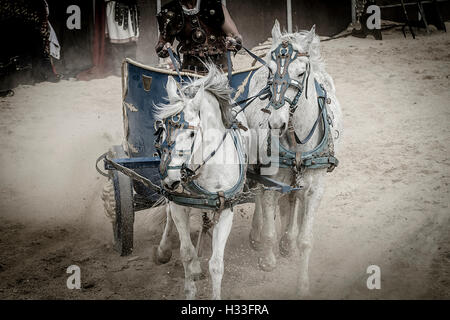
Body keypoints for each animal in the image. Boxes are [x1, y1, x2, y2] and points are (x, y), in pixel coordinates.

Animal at [153, 65, 248, 300]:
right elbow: (186, 255)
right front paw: (191, 285)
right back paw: (164, 250)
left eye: (191, 133)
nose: (170, 179)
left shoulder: (226, 209)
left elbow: (216, 264)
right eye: (162, 129)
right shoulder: (178, 205)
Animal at [244, 21, 342, 298]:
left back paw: (288, 241)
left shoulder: (315, 188)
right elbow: (268, 227)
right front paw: (267, 260)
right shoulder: (269, 182)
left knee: (292, 201)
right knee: (261, 198)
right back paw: (259, 235)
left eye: (300, 73)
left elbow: (306, 240)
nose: (276, 122)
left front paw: (303, 285)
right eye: (270, 69)